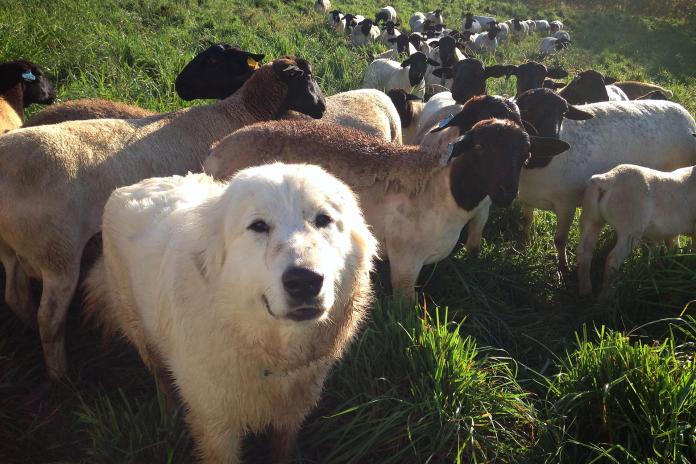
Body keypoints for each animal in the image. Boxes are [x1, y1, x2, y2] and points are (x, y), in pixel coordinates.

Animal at [0, 56, 324, 378]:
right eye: (306, 77)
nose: (322, 108)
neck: (238, 112)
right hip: (56, 252)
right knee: (49, 318)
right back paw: (61, 375)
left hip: (13, 249)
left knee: (15, 294)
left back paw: (29, 330)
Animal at [84, 164, 378, 464]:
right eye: (258, 226)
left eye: (323, 219)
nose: (305, 280)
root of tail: (136, 184)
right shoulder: (216, 428)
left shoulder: (291, 411)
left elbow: (280, 450)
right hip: (142, 335)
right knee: (160, 378)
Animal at [516, 100, 696, 276]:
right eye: (525, 111)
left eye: (562, 113)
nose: (545, 154)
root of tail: (685, 114)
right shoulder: (527, 200)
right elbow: (526, 223)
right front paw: (525, 248)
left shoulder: (566, 204)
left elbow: (559, 240)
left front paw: (563, 269)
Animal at [580, 162, 696, 294]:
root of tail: (606, 179)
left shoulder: (672, 231)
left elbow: (673, 246)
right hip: (630, 227)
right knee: (612, 259)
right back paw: (607, 295)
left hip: (590, 217)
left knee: (585, 250)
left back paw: (586, 291)